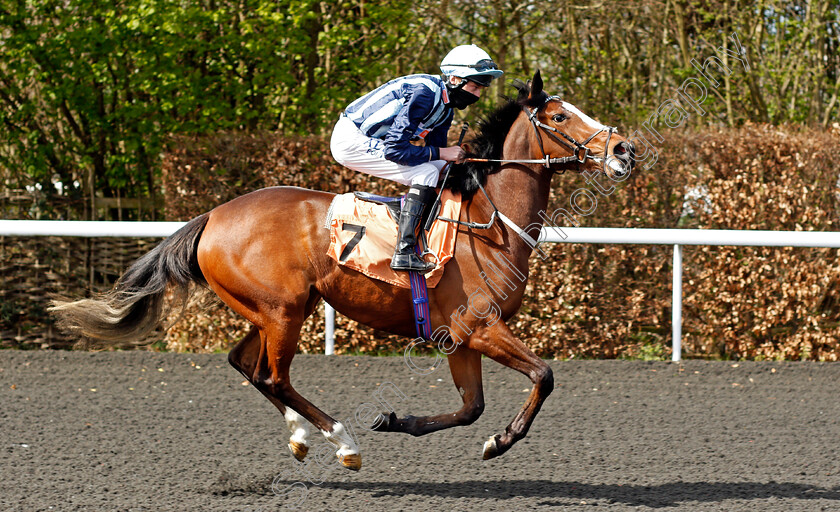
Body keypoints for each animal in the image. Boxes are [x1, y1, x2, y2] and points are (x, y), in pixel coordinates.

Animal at [50, 70, 632, 470]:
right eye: (559, 117)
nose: (623, 149)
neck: (488, 222)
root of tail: (213, 215)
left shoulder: (459, 336)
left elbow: (471, 407)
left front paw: (397, 420)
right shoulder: (480, 326)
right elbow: (543, 375)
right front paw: (500, 441)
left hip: (278, 308)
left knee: (245, 363)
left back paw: (301, 436)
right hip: (282, 310)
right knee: (273, 376)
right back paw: (341, 441)